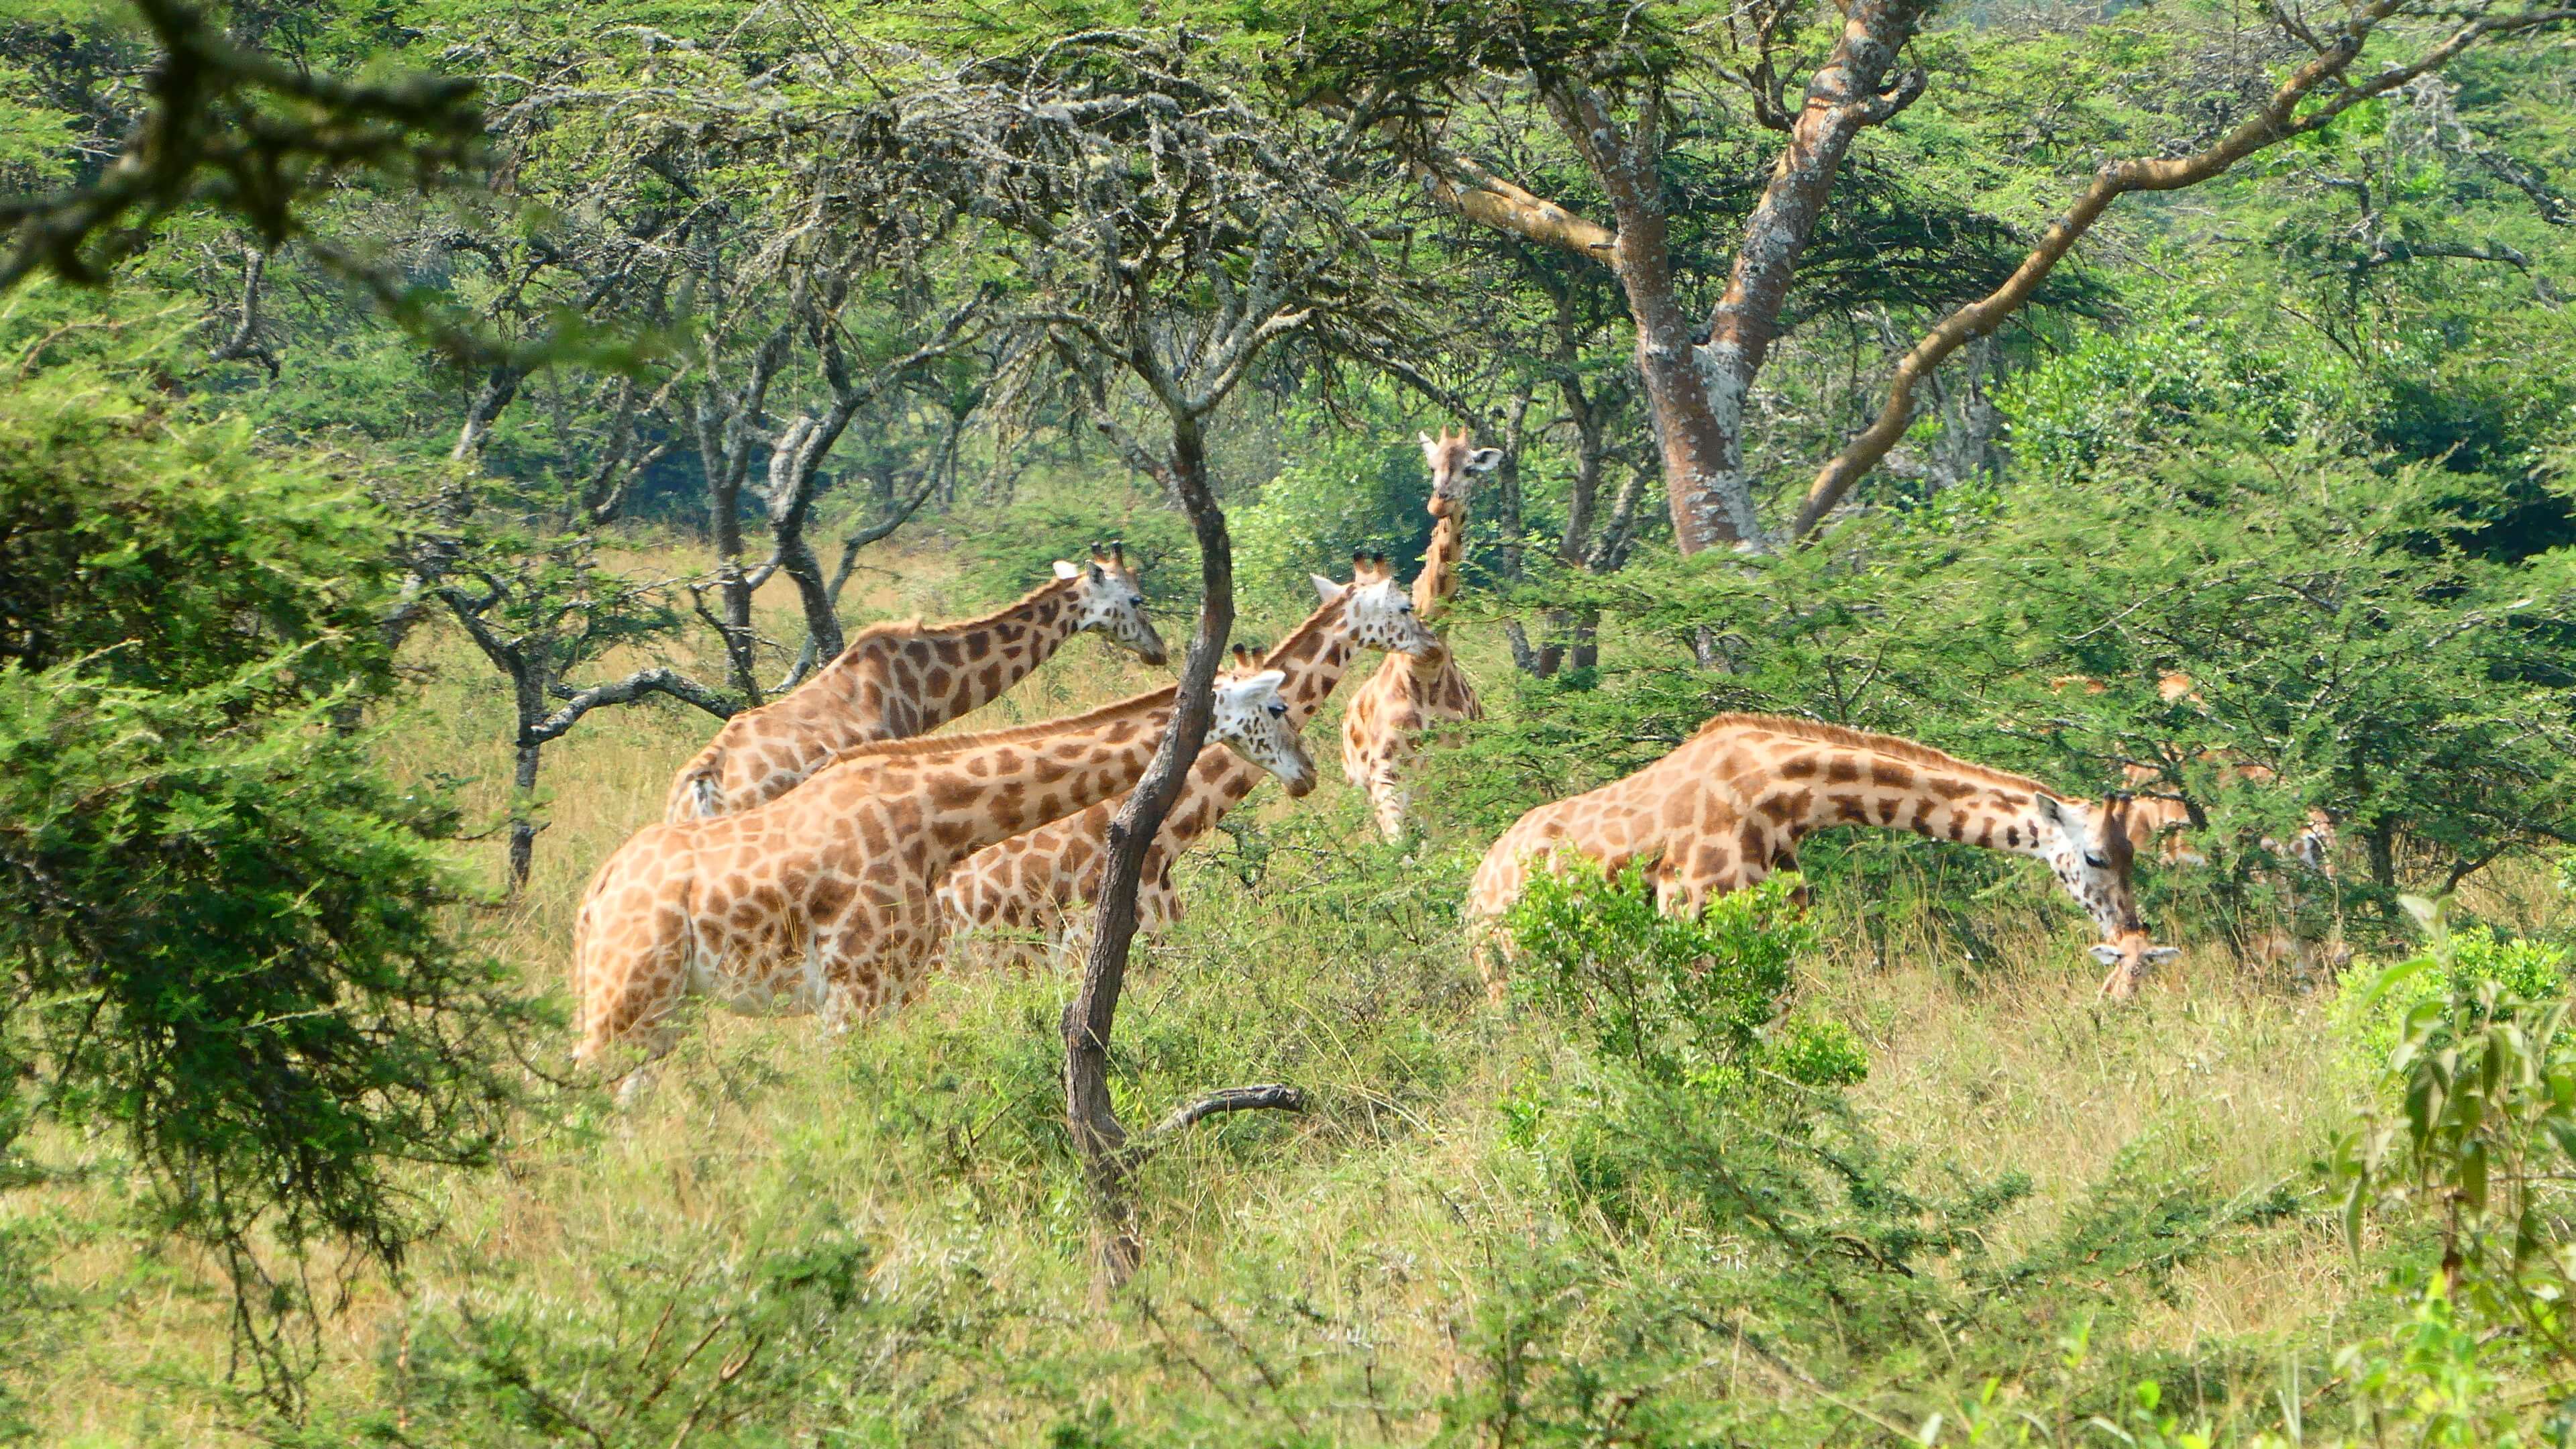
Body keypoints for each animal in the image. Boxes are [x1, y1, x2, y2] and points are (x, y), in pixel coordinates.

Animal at [576, 669, 1314, 1095]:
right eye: (1278, 707)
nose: (1307, 773)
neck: (936, 822)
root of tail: (596, 894)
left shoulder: (894, 992)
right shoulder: (853, 993)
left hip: (665, 1009)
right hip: (625, 998)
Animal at [1341, 428, 1500, 841]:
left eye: (1470, 469)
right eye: (1431, 466)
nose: (1438, 503)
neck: (1426, 663)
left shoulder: (1457, 767)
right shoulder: (1385, 773)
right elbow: (1400, 850)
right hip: (1369, 786)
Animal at [1465, 713, 2181, 1000]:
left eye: (2136, 854)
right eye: (2097, 858)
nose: (2130, 929)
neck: (1783, 797)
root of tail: (1472, 894)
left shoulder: (1781, 921)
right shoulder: (1691, 915)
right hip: (1509, 968)